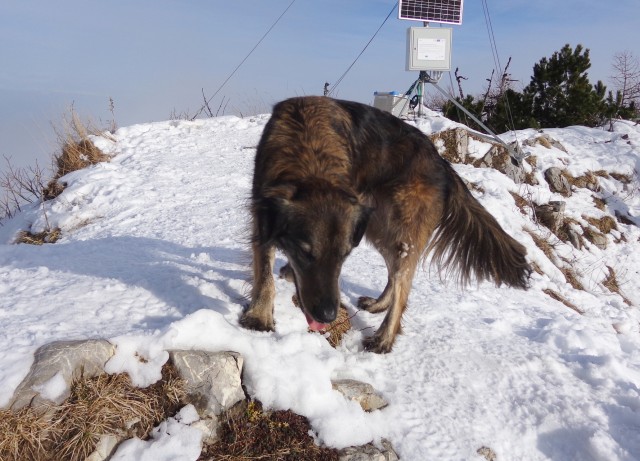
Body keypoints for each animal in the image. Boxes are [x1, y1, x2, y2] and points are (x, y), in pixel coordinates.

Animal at [240, 95, 528, 350]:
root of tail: (443, 165)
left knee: (403, 285)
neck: (311, 153)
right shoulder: (262, 211)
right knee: (394, 271)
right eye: (304, 252)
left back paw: (383, 340)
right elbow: (264, 269)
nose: (328, 315)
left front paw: (259, 315)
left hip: (401, 230)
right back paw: (379, 305)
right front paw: (262, 311)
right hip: (377, 227)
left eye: (344, 256)